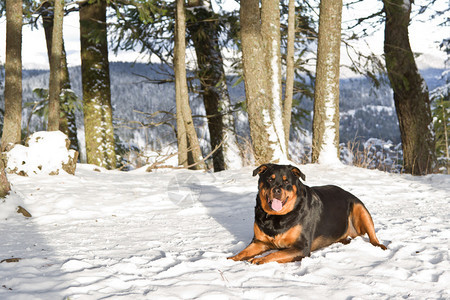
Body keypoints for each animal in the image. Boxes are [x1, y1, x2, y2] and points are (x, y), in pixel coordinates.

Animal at [229, 164, 386, 264]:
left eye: (286, 181)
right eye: (270, 179)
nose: (277, 190)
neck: (276, 217)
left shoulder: (301, 248)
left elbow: (276, 253)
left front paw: (259, 259)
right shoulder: (259, 242)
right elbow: (243, 252)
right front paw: (230, 259)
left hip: (360, 208)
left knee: (373, 235)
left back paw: (381, 246)